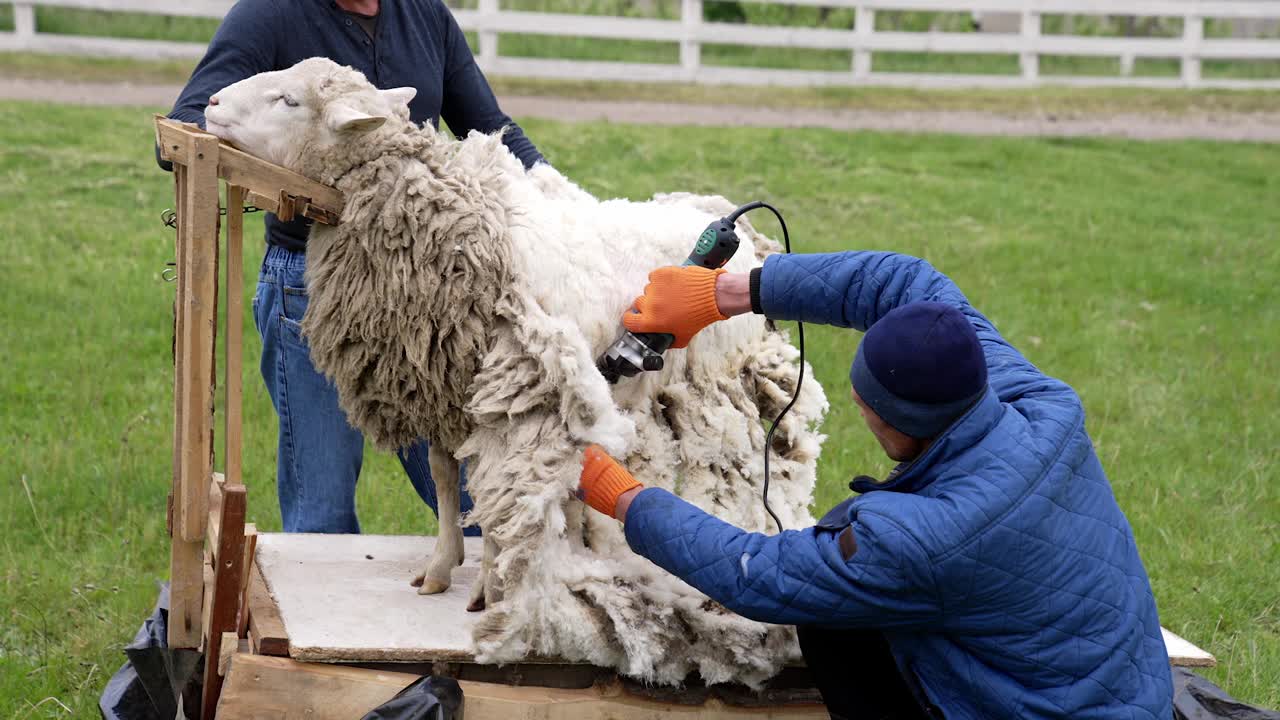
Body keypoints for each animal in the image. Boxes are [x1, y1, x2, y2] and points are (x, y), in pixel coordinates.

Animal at [204, 57, 829, 681]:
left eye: (289, 101)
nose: (208, 105)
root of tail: (746, 236)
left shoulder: (508, 399)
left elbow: (495, 487)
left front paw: (490, 586)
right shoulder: (444, 387)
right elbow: (446, 475)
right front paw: (443, 565)